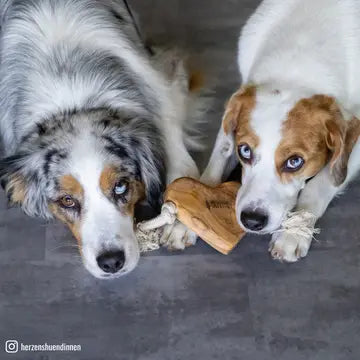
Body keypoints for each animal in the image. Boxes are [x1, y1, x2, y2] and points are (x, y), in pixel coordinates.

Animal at [201, 0, 360, 262]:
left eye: (295, 161)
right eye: (244, 151)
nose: (252, 220)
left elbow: (319, 186)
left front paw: (293, 232)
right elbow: (216, 161)